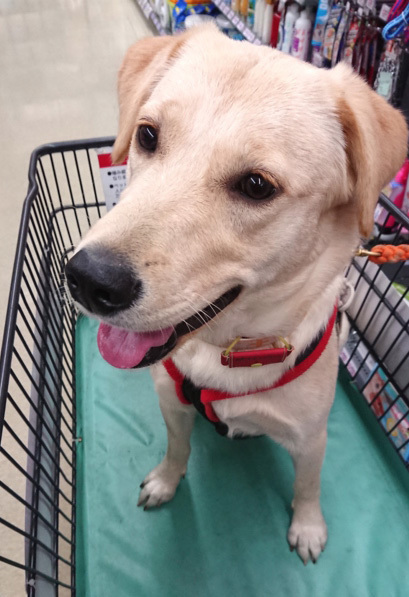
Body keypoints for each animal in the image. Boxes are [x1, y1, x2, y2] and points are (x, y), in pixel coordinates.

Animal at [65, 25, 407, 564]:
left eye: (256, 185)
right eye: (147, 135)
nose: (89, 279)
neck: (227, 348)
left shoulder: (311, 439)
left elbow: (308, 486)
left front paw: (308, 527)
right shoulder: (171, 403)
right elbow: (176, 448)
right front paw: (166, 481)